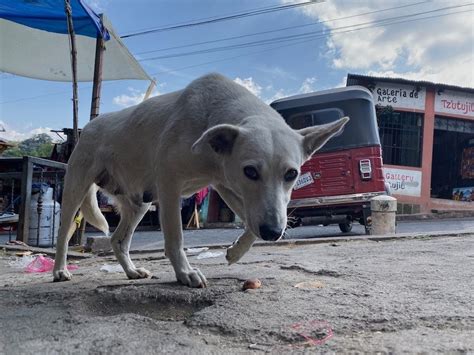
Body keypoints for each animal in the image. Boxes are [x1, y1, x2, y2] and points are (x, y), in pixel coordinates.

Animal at [53, 73, 348, 288]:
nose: (273, 232)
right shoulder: (170, 184)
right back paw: (60, 270)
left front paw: (235, 252)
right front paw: (185, 273)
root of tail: (90, 125)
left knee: (117, 240)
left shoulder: (226, 185)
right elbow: (175, 238)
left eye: (291, 174)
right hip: (76, 189)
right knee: (63, 234)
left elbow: (250, 226)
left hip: (140, 203)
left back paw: (131, 271)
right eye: (251, 171)